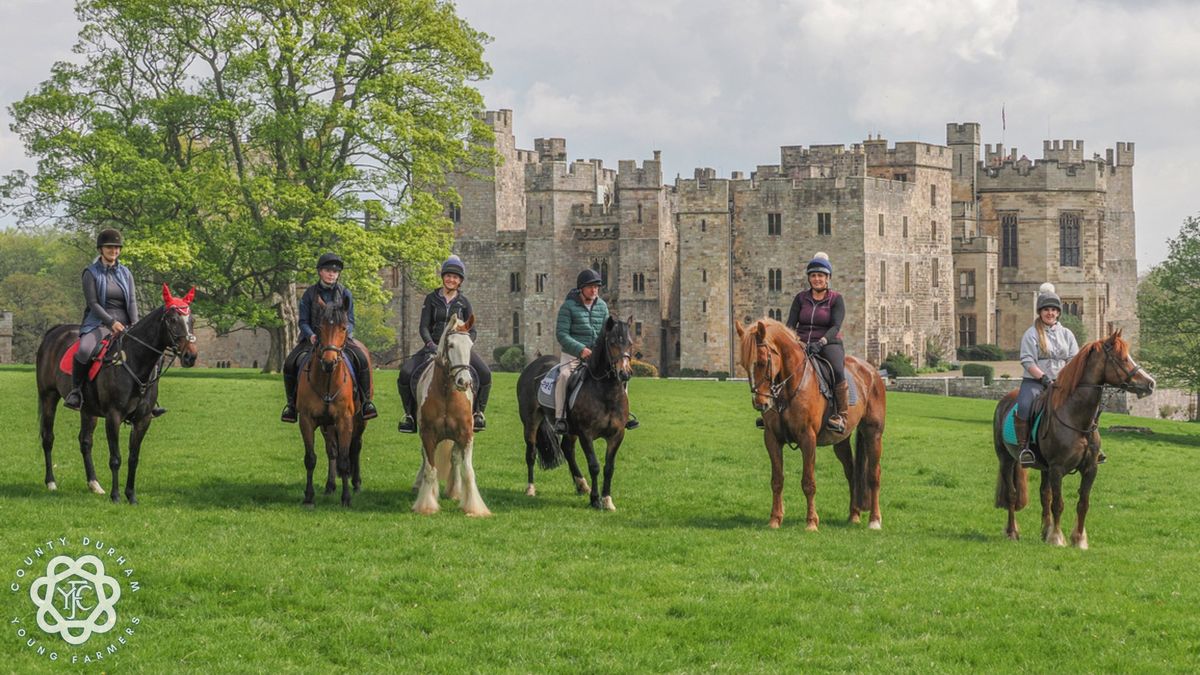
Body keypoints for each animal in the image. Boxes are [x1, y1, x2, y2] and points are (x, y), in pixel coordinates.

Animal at [34, 282, 196, 499]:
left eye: (191, 320)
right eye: (172, 319)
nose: (190, 356)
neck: (135, 361)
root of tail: (56, 331)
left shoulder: (143, 419)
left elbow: (133, 458)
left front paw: (131, 496)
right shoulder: (113, 416)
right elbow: (116, 458)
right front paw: (116, 496)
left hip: (88, 410)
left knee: (85, 441)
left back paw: (94, 484)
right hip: (48, 397)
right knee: (48, 438)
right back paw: (51, 482)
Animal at [296, 293, 369, 504]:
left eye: (343, 327)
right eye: (319, 328)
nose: (329, 361)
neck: (327, 380)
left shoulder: (345, 420)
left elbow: (345, 460)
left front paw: (346, 498)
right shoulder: (307, 420)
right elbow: (311, 458)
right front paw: (309, 497)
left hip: (360, 420)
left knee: (356, 447)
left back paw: (356, 483)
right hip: (327, 425)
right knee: (332, 451)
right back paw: (329, 486)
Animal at [516, 314, 638, 509]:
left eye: (630, 342)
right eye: (612, 342)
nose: (625, 373)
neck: (606, 392)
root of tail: (534, 364)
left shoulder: (617, 435)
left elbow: (609, 468)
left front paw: (607, 499)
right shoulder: (586, 434)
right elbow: (594, 465)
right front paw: (595, 500)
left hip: (570, 430)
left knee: (567, 449)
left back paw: (581, 485)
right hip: (531, 422)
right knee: (531, 453)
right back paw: (530, 488)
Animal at [724, 317, 888, 528]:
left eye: (762, 362)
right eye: (744, 365)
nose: (761, 403)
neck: (788, 389)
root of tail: (872, 371)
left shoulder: (807, 438)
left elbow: (808, 482)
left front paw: (811, 522)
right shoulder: (771, 438)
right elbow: (777, 480)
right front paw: (775, 519)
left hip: (873, 433)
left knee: (874, 474)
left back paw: (874, 520)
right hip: (841, 439)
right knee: (851, 472)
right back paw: (854, 514)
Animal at [993, 329, 1152, 547]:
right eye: (1122, 358)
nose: (1150, 383)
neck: (1077, 420)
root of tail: (1005, 400)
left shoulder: (1090, 469)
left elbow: (1082, 503)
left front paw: (1078, 539)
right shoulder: (1057, 468)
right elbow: (1058, 504)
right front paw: (1057, 538)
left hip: (1043, 468)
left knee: (1044, 495)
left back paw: (1044, 531)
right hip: (1006, 460)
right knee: (1012, 495)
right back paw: (1012, 532)